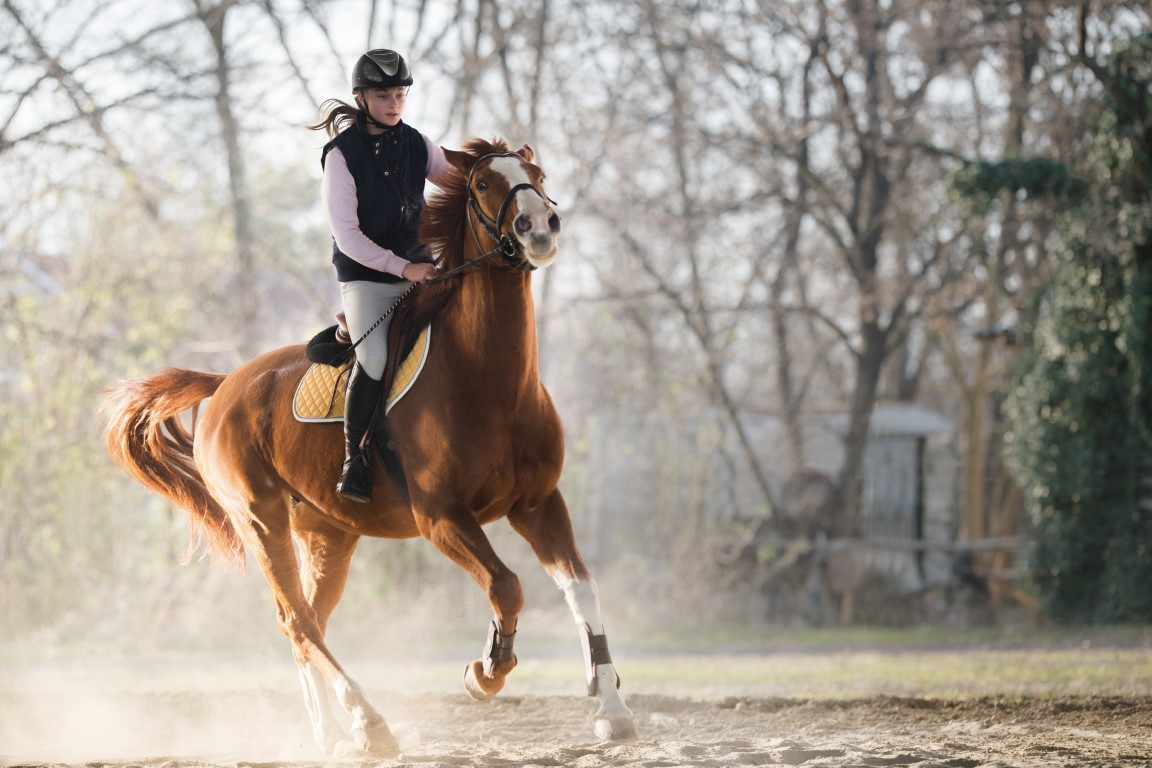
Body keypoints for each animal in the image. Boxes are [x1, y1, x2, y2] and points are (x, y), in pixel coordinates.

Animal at [104, 138, 636, 757]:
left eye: (537, 174)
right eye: (483, 185)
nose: (539, 227)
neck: (491, 381)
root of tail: (223, 386)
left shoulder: (538, 504)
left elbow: (581, 589)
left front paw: (611, 709)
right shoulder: (441, 517)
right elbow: (506, 585)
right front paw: (485, 670)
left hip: (328, 535)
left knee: (307, 622)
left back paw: (334, 734)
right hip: (261, 520)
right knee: (298, 620)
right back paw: (370, 721)